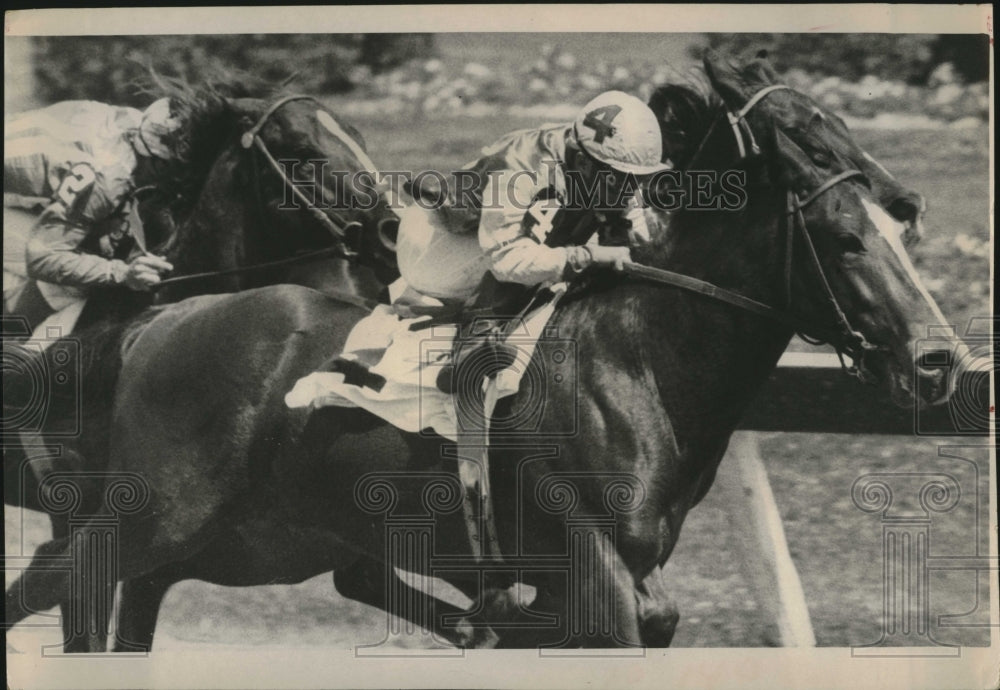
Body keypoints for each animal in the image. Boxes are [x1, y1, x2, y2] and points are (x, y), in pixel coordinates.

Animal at [5, 55, 960, 652]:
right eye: (843, 239)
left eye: (896, 227)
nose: (939, 361)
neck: (638, 362)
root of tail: (160, 317)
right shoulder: (589, 556)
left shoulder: (607, 579)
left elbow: (643, 621)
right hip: (155, 516)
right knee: (65, 583)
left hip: (243, 537)